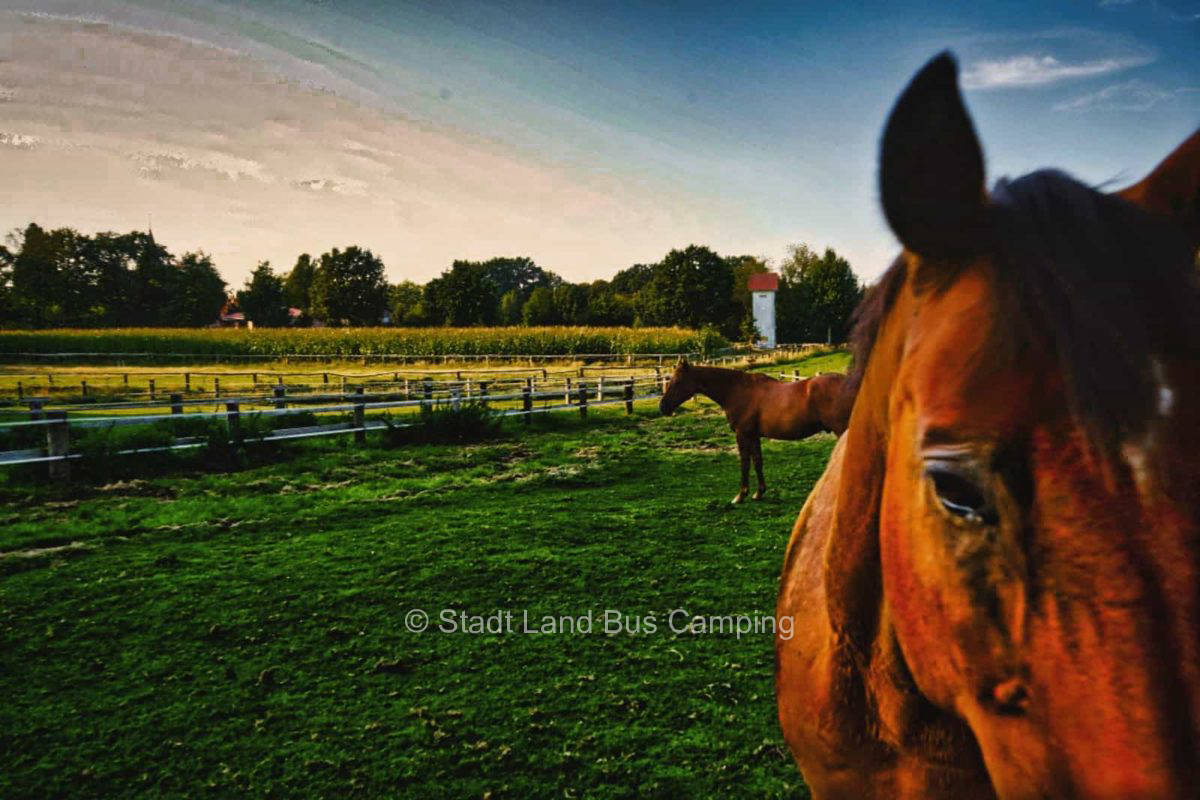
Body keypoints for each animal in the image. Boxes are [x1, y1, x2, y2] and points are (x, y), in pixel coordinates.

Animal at [659, 359, 851, 504]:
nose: (663, 407)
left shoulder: (742, 434)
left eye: (677, 382)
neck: (737, 390)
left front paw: (740, 495)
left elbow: (744, 463)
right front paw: (759, 493)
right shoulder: (753, 436)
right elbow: (758, 462)